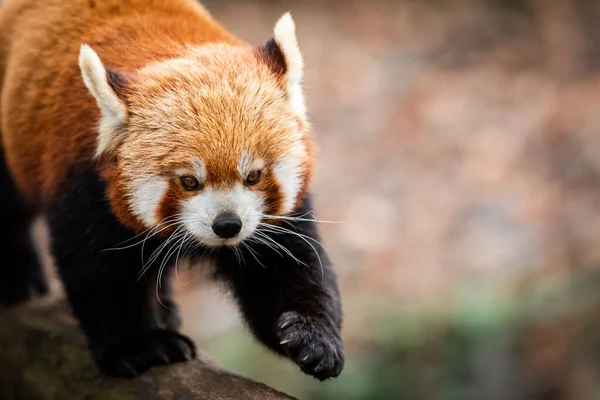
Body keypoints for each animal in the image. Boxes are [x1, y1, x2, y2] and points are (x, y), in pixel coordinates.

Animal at [0, 0, 344, 382]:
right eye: (189, 181)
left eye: (253, 176)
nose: (228, 224)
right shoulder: (84, 183)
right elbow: (98, 272)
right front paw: (138, 346)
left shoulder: (272, 218)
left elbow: (285, 265)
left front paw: (313, 338)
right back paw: (18, 279)